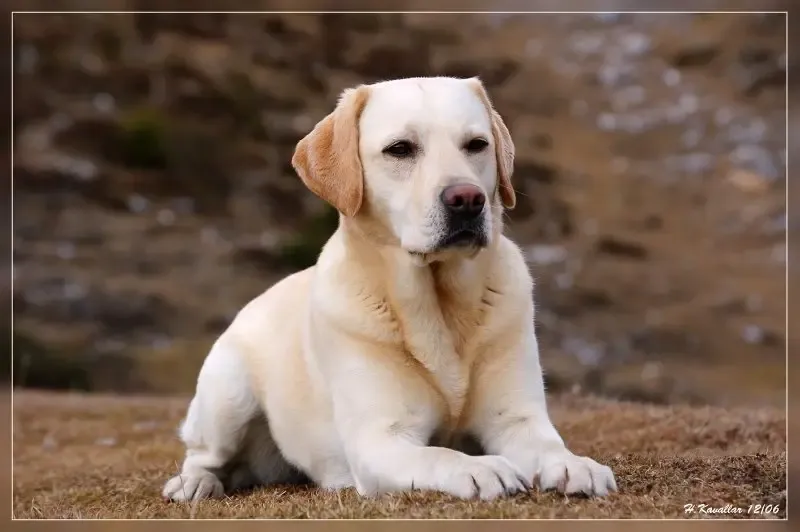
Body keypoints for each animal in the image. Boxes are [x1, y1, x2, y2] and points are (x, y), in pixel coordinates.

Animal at [162, 76, 620, 502]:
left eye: (477, 145)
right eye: (400, 149)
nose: (468, 200)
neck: (440, 306)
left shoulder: (516, 419)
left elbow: (547, 446)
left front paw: (574, 465)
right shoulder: (381, 439)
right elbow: (440, 454)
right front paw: (482, 468)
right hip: (228, 393)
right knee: (202, 456)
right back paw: (194, 484)